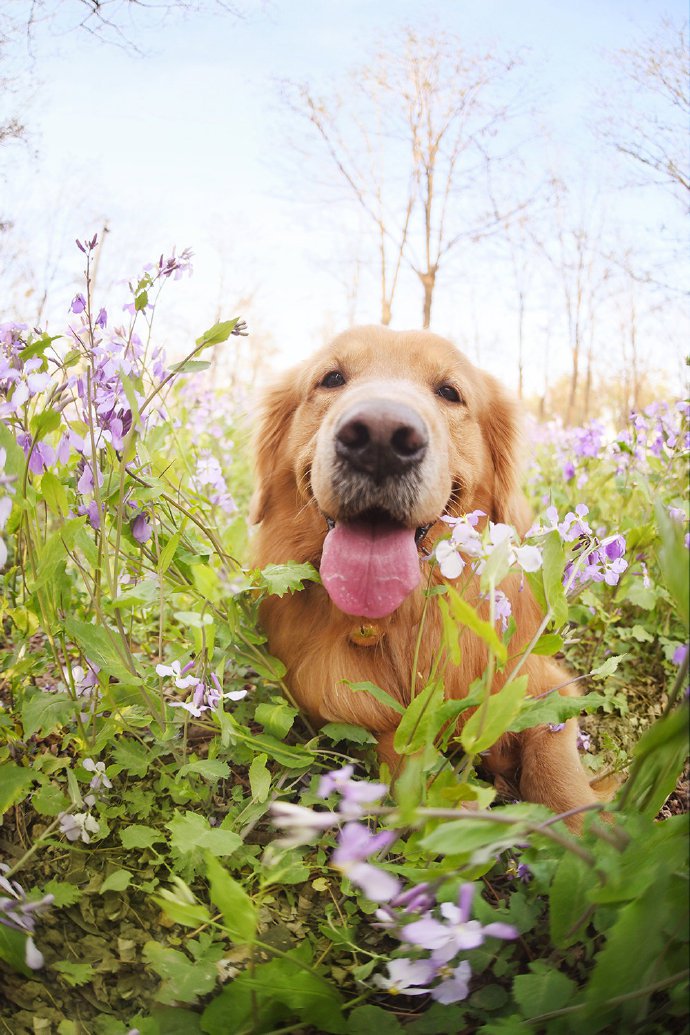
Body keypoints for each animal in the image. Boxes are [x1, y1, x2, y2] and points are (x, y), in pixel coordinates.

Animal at [251, 322, 600, 823]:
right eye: (332, 378)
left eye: (449, 392)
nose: (380, 437)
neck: (404, 618)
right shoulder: (352, 714)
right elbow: (409, 762)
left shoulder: (542, 686)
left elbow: (560, 774)